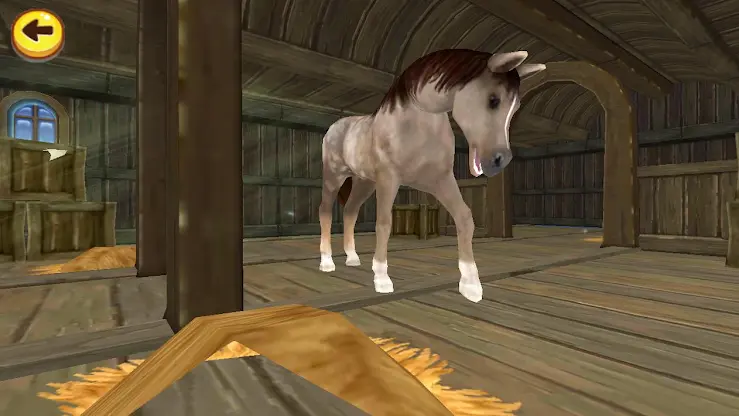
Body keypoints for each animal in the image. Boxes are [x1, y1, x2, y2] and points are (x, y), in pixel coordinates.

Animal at [318, 49, 546, 303]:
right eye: (493, 100)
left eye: (515, 109)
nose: (500, 160)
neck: (418, 122)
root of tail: (336, 126)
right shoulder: (389, 179)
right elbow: (384, 223)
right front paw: (382, 279)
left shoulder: (441, 180)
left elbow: (465, 218)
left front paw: (471, 285)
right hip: (334, 177)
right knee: (325, 212)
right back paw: (327, 263)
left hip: (364, 182)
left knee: (350, 211)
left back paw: (352, 258)